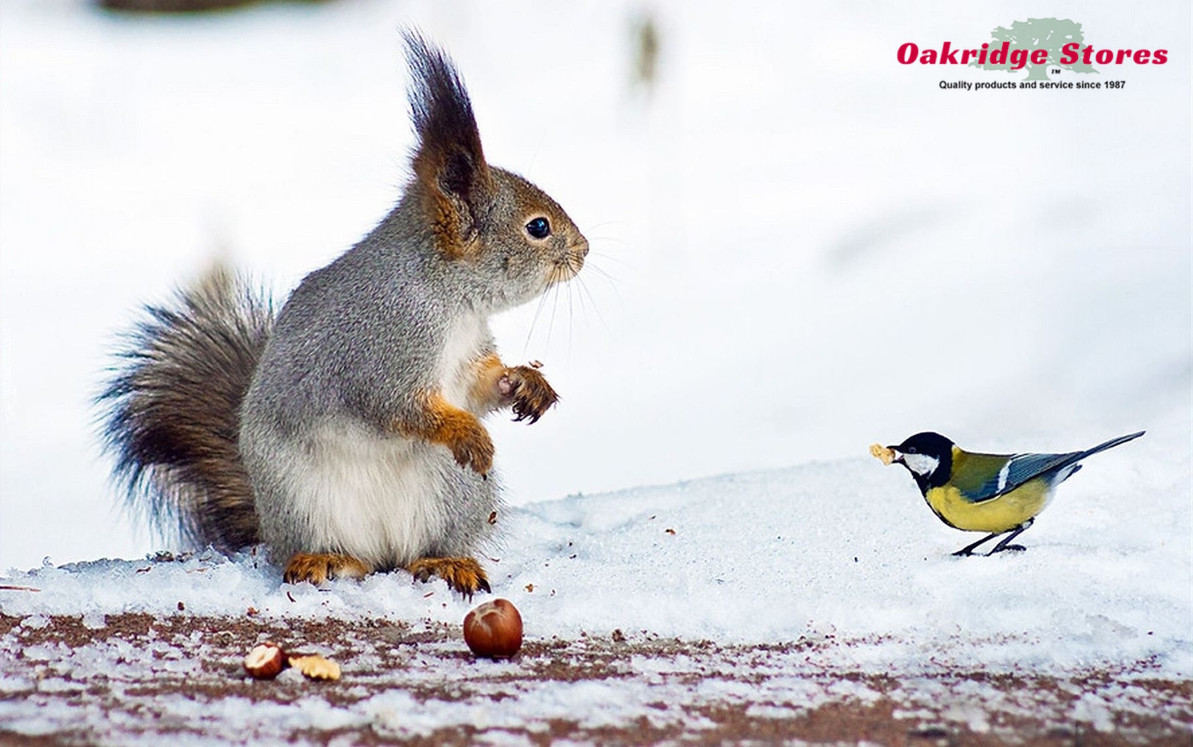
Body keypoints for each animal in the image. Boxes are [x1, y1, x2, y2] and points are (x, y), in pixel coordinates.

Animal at [97, 33, 586, 594]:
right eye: (538, 227)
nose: (584, 250)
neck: (451, 302)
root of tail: (383, 550)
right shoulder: (382, 347)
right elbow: (397, 406)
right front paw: (466, 431)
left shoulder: (465, 357)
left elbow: (482, 385)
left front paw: (526, 382)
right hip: (303, 497)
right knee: (341, 551)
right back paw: (325, 559)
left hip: (450, 492)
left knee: (421, 550)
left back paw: (445, 561)